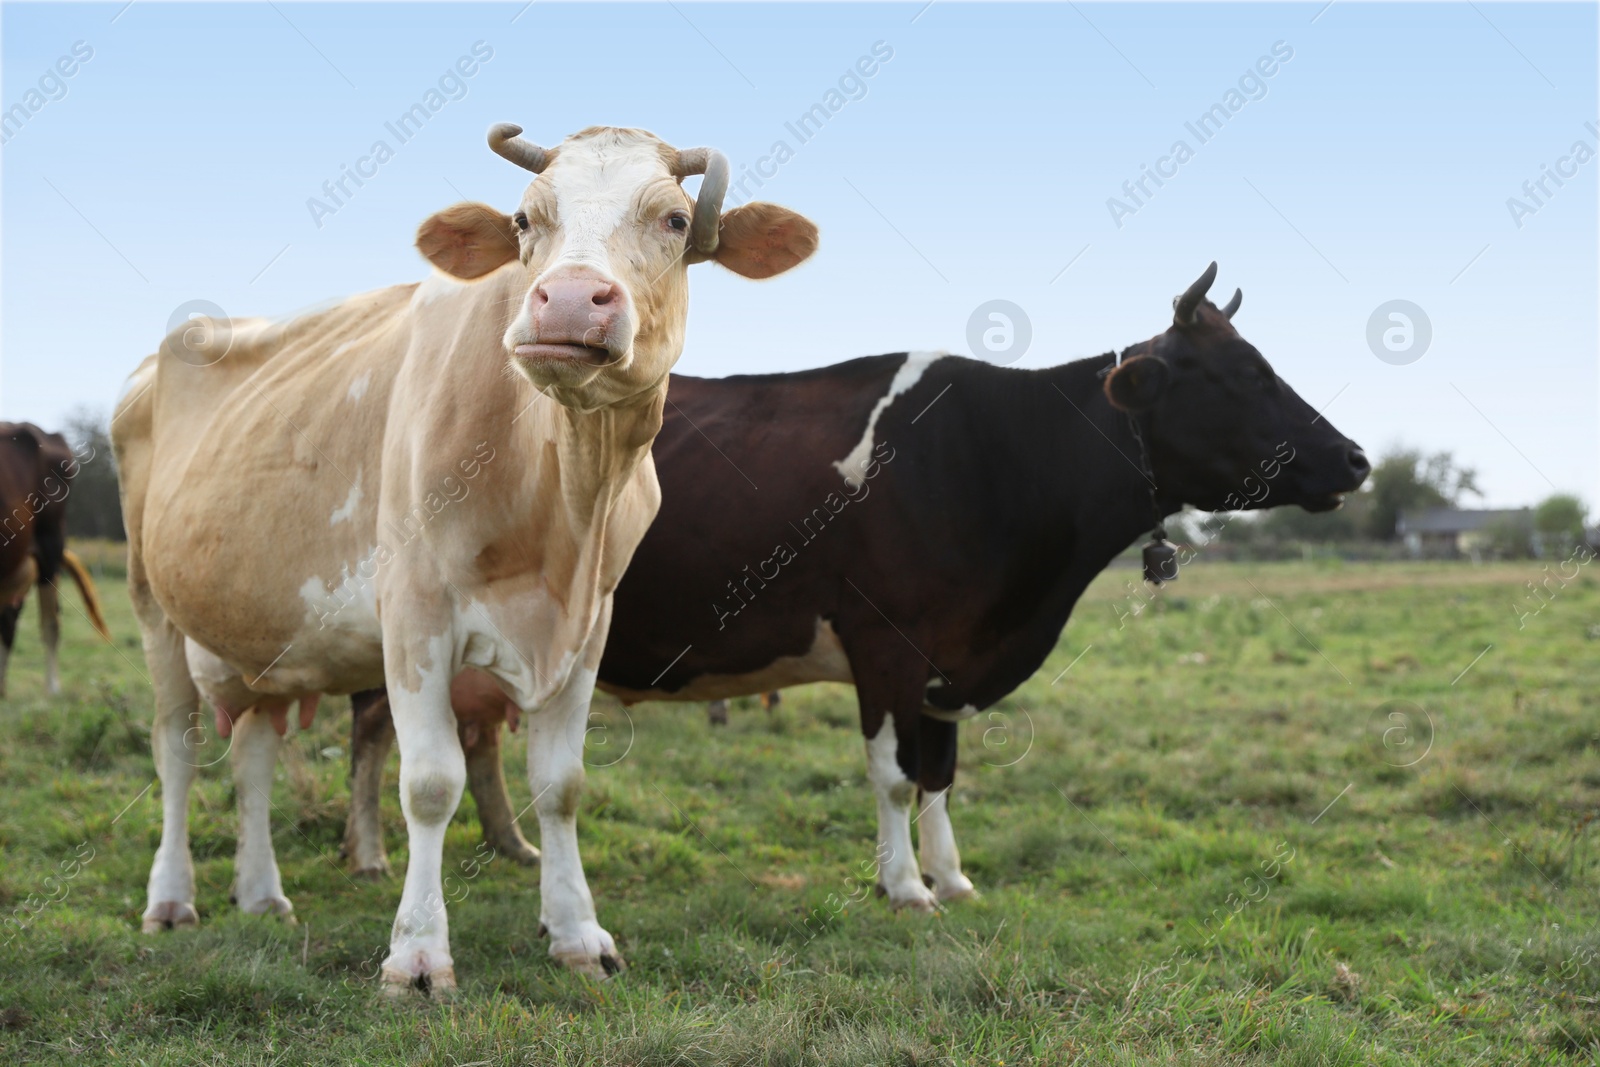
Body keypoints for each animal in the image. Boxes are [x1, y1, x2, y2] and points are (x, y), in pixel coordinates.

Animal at [114, 127, 819, 991]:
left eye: (676, 220)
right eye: (524, 220)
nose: (569, 299)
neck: (563, 493)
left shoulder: (589, 622)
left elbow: (561, 784)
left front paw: (578, 932)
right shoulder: (415, 613)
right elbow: (430, 782)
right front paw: (417, 954)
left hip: (262, 635)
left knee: (253, 752)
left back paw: (261, 894)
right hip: (154, 606)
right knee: (177, 748)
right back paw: (170, 898)